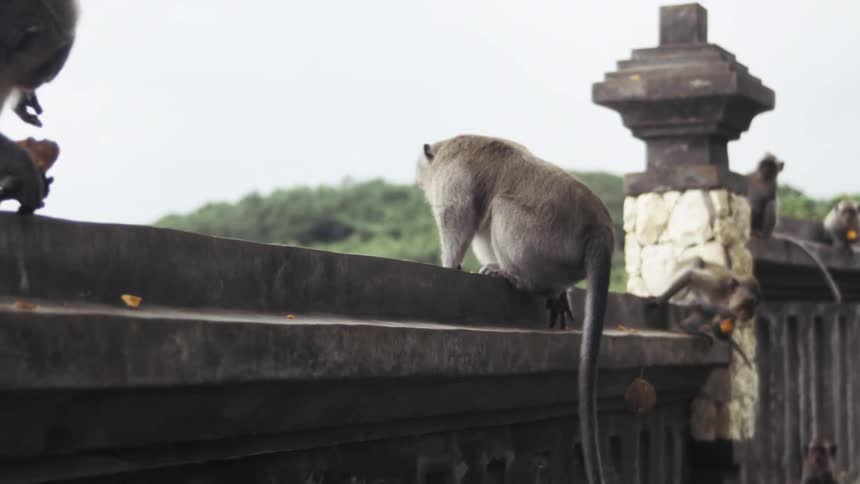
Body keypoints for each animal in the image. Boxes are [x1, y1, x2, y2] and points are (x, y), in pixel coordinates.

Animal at [416, 134, 614, 484]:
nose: (419, 184)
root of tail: (600, 227)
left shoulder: (453, 175)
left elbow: (458, 216)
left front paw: (449, 265)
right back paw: (553, 292)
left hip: (544, 239)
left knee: (501, 208)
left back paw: (517, 279)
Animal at [747, 154, 843, 303]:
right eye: (764, 164)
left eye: (770, 166)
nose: (765, 170)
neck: (763, 180)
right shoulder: (750, 177)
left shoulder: (773, 186)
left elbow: (769, 200)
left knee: (771, 203)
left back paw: (763, 234)